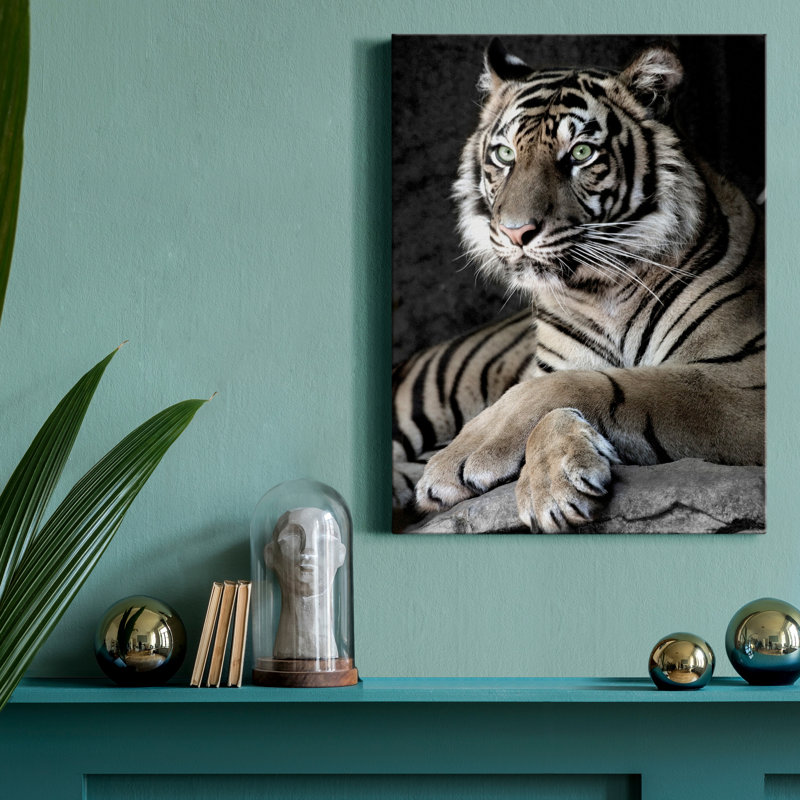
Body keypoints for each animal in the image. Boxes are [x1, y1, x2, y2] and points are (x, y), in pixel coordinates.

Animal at [393, 38, 764, 533]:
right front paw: (550, 484)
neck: (600, 293)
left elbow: (587, 387)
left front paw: (480, 460)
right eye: (505, 156)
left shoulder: (748, 382)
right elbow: (556, 390)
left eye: (583, 152)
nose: (515, 232)